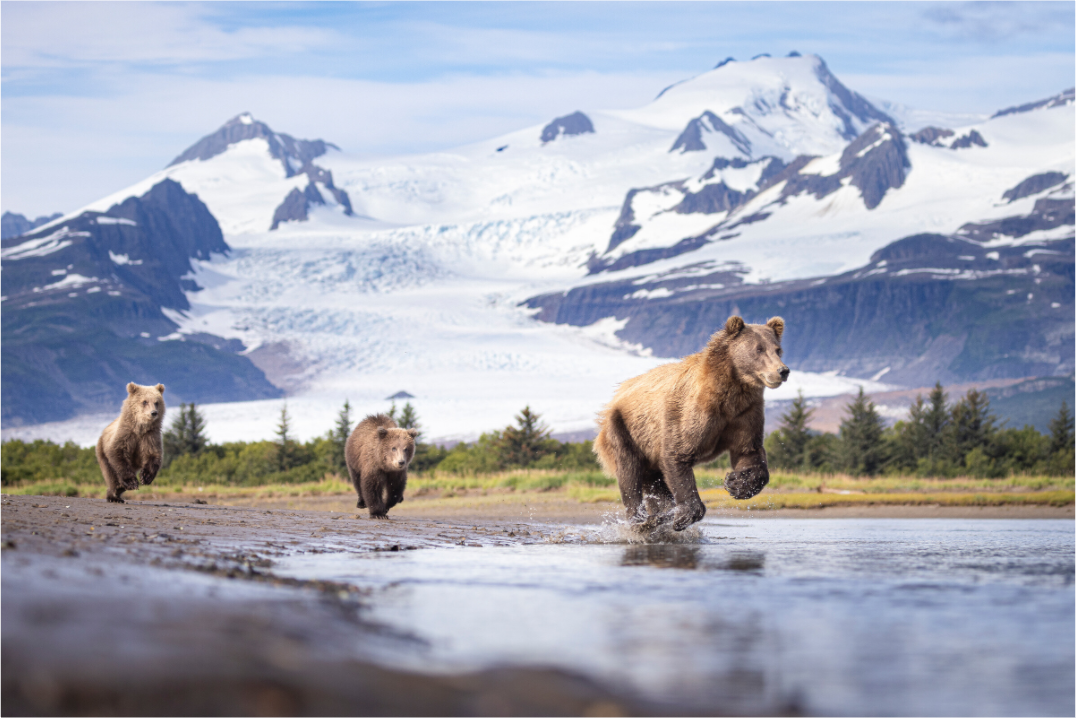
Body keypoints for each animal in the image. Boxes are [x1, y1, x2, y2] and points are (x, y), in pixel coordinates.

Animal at [594, 316, 789, 531]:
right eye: (759, 349)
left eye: (778, 349)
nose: (782, 371)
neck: (730, 393)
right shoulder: (688, 413)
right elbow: (678, 454)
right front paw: (682, 516)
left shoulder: (745, 414)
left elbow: (749, 451)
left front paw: (736, 483)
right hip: (623, 429)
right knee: (629, 473)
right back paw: (642, 519)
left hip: (648, 451)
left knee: (654, 481)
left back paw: (658, 515)